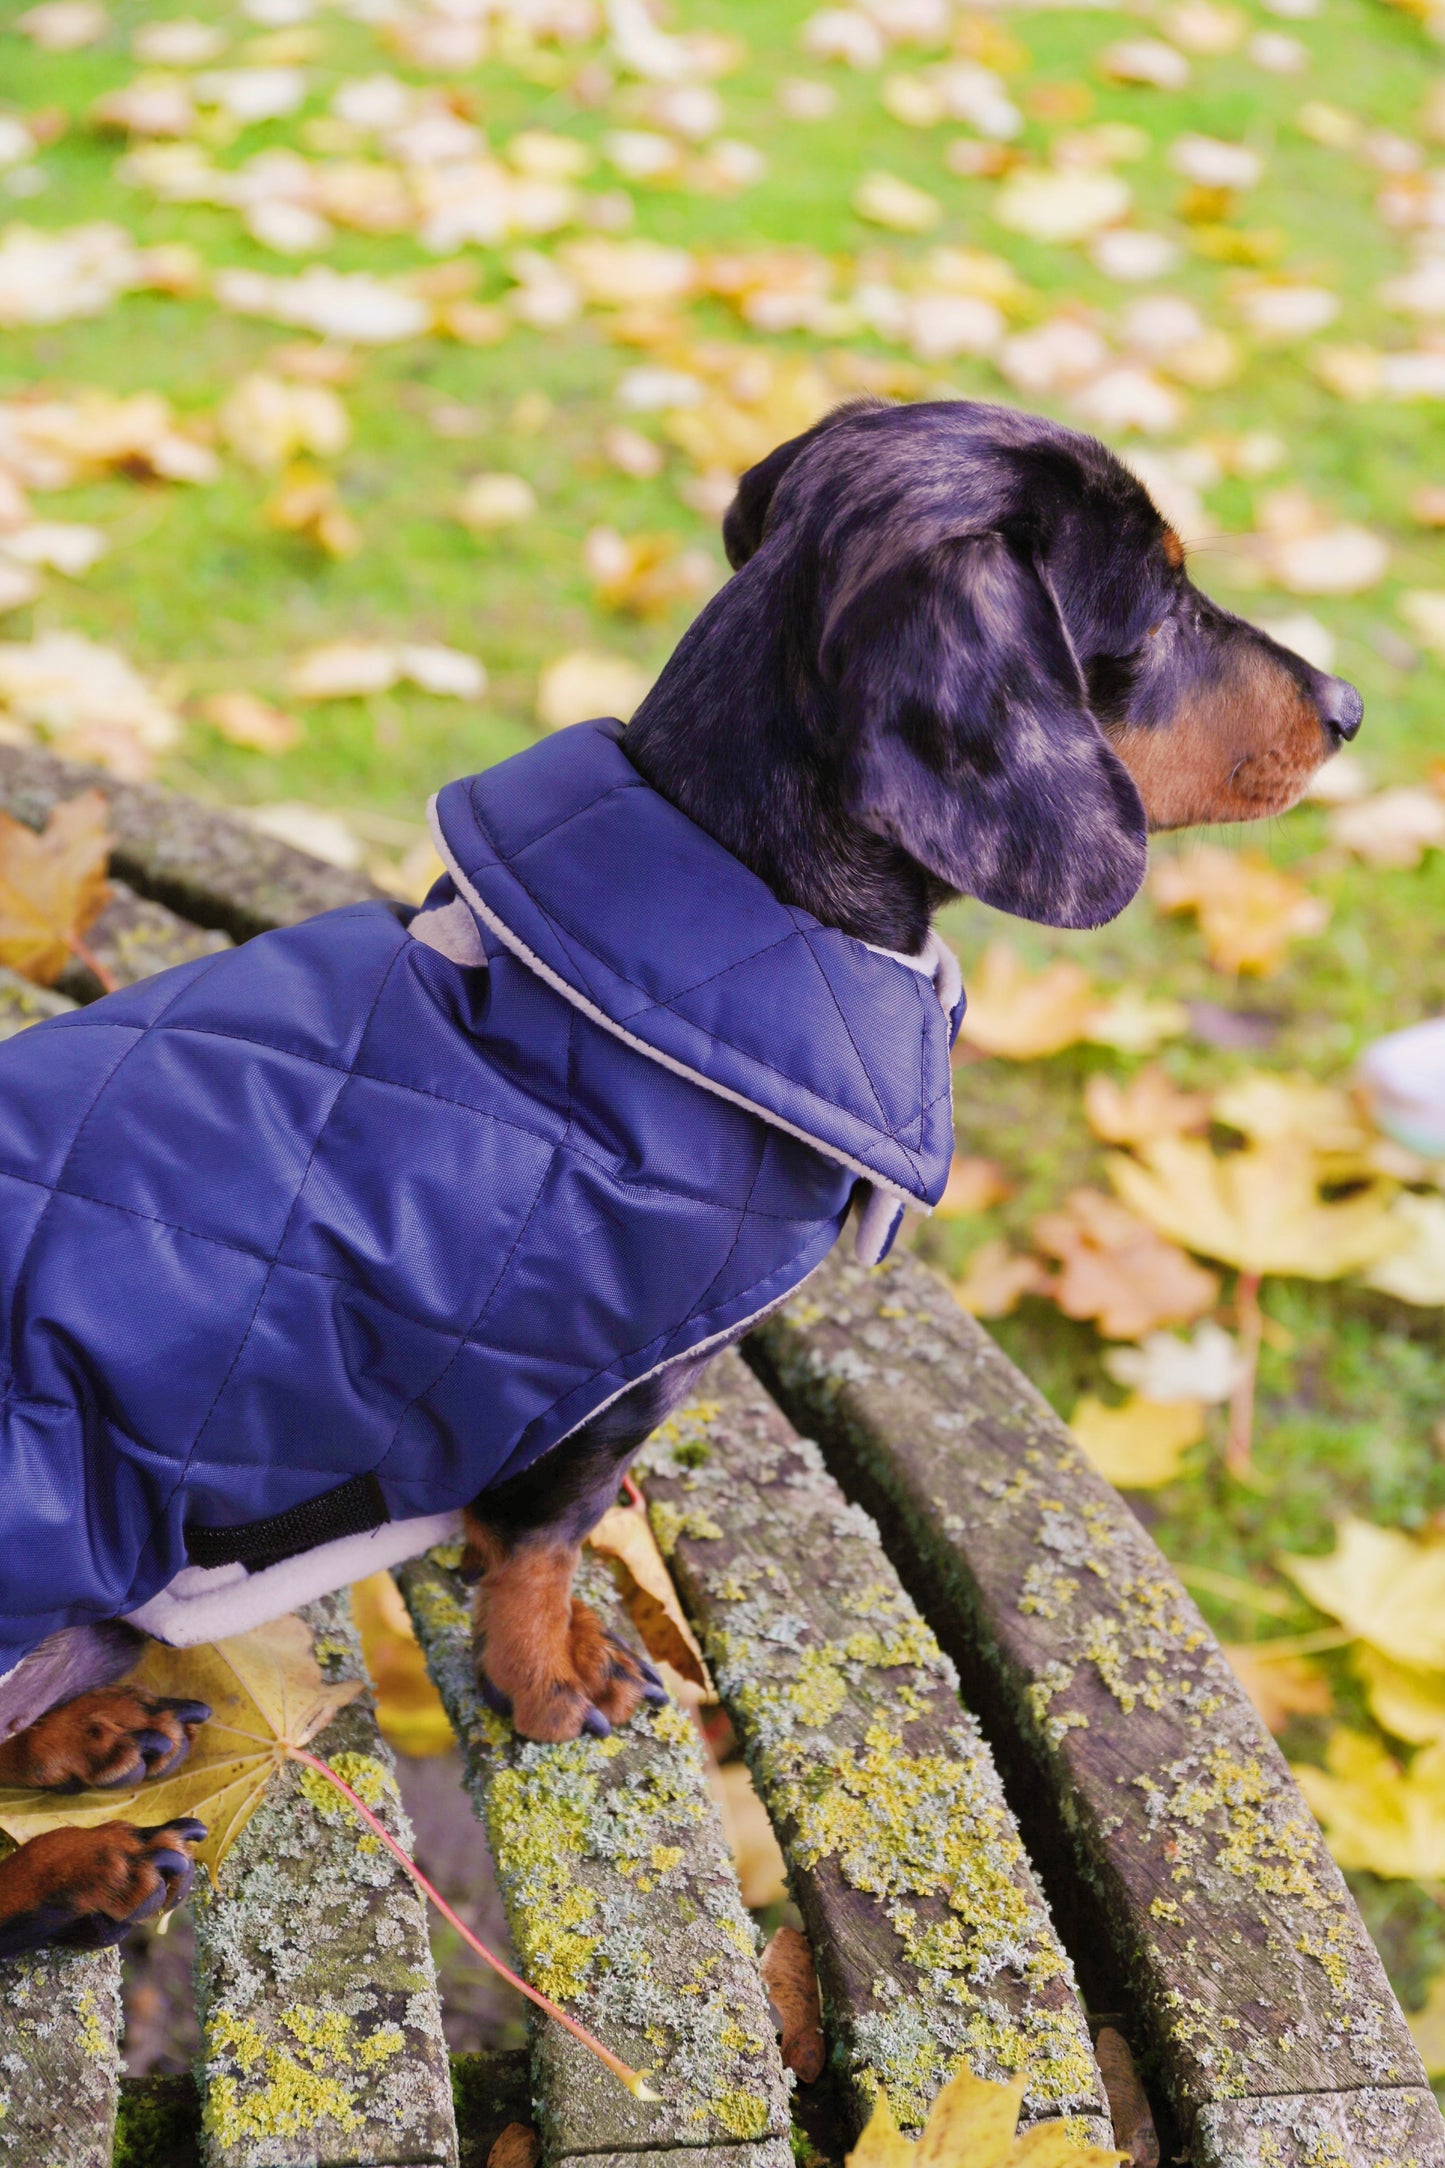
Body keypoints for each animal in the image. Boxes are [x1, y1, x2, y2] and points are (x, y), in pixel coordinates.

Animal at [0, 398, 1360, 1959]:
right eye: (1158, 605)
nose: (1348, 709)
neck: (722, 908)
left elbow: (530, 1533)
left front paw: (582, 1636)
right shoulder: (586, 1384)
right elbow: (544, 1540)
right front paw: (549, 1678)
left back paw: (87, 1736)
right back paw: (79, 1868)